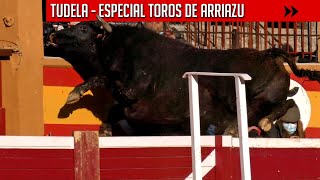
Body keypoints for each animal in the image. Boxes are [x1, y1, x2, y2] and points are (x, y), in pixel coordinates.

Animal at [48, 18, 320, 136]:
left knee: (276, 106)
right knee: (284, 103)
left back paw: (249, 126)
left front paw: (73, 95)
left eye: (83, 28)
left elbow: (102, 78)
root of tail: (269, 53)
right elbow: (114, 108)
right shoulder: (128, 100)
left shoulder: (132, 90)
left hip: (252, 97)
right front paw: (105, 130)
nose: (54, 35)